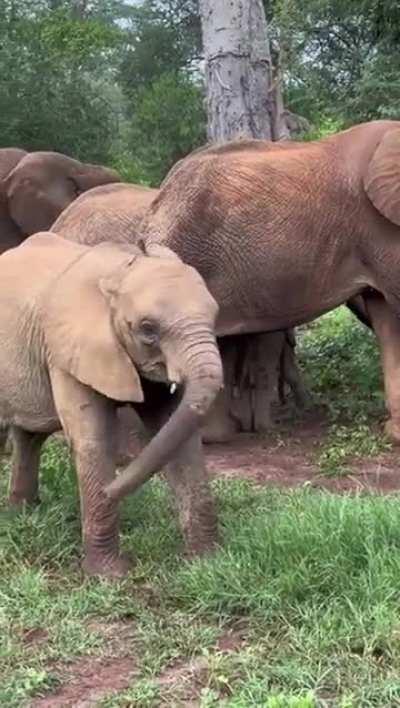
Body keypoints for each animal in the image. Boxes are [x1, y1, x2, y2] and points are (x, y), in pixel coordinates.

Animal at [0, 232, 222, 577]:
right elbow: (93, 440)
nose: (111, 490)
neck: (120, 270)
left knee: (29, 436)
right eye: (147, 329)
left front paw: (206, 561)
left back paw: (23, 514)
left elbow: (178, 437)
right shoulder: (66, 351)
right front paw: (110, 575)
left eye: (215, 315)